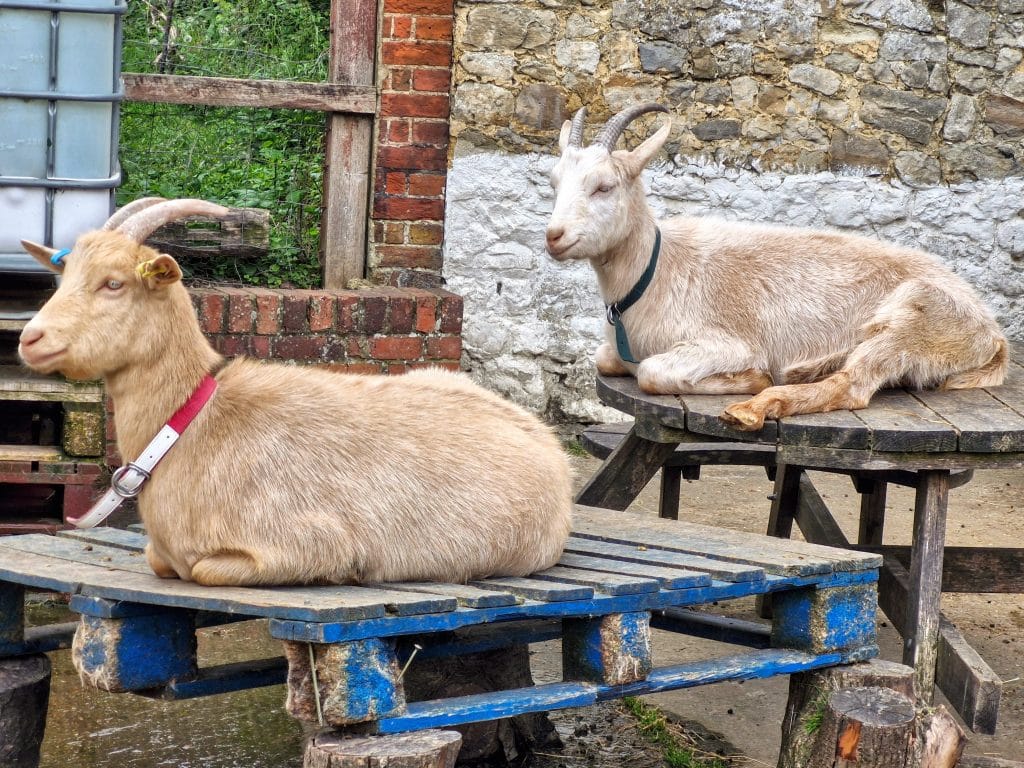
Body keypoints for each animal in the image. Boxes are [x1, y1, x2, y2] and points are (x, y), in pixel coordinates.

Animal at [18, 199, 573, 587]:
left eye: (113, 283)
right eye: (63, 276)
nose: (30, 338)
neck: (190, 428)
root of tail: (549, 444)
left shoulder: (305, 543)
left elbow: (204, 569)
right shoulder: (164, 550)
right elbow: (159, 560)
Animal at [545, 104, 1007, 430]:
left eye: (604, 186)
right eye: (554, 183)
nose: (554, 236)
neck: (656, 272)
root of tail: (992, 334)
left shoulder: (726, 342)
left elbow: (651, 373)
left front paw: (752, 378)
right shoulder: (616, 348)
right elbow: (606, 358)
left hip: (915, 319)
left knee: (853, 385)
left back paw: (756, 406)